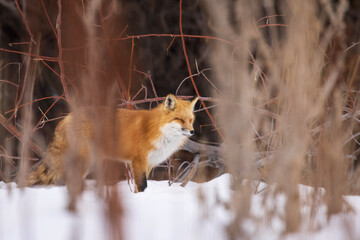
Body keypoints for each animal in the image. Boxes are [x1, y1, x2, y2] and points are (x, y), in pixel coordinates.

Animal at [27, 94, 198, 192]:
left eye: (190, 120)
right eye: (180, 119)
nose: (192, 132)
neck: (157, 130)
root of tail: (67, 117)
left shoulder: (148, 164)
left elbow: (138, 188)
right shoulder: (138, 161)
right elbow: (142, 186)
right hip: (86, 161)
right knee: (72, 183)